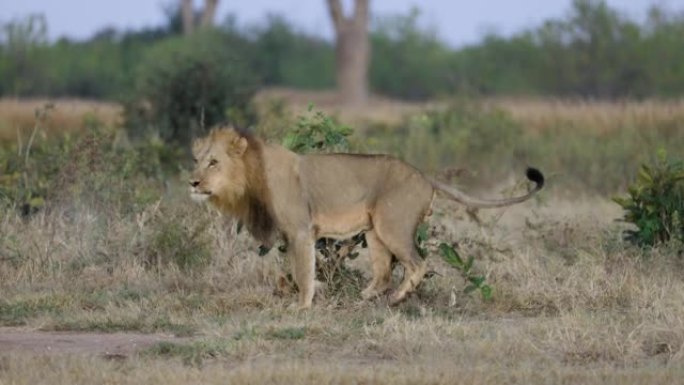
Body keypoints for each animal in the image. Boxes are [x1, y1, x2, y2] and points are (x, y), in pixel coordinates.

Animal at [190, 126, 544, 308]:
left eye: (214, 162)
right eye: (197, 160)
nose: (192, 182)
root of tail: (424, 176)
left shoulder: (301, 231)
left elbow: (303, 273)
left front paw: (301, 306)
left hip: (392, 225)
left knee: (418, 263)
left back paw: (398, 299)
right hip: (374, 231)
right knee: (384, 272)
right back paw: (365, 297)